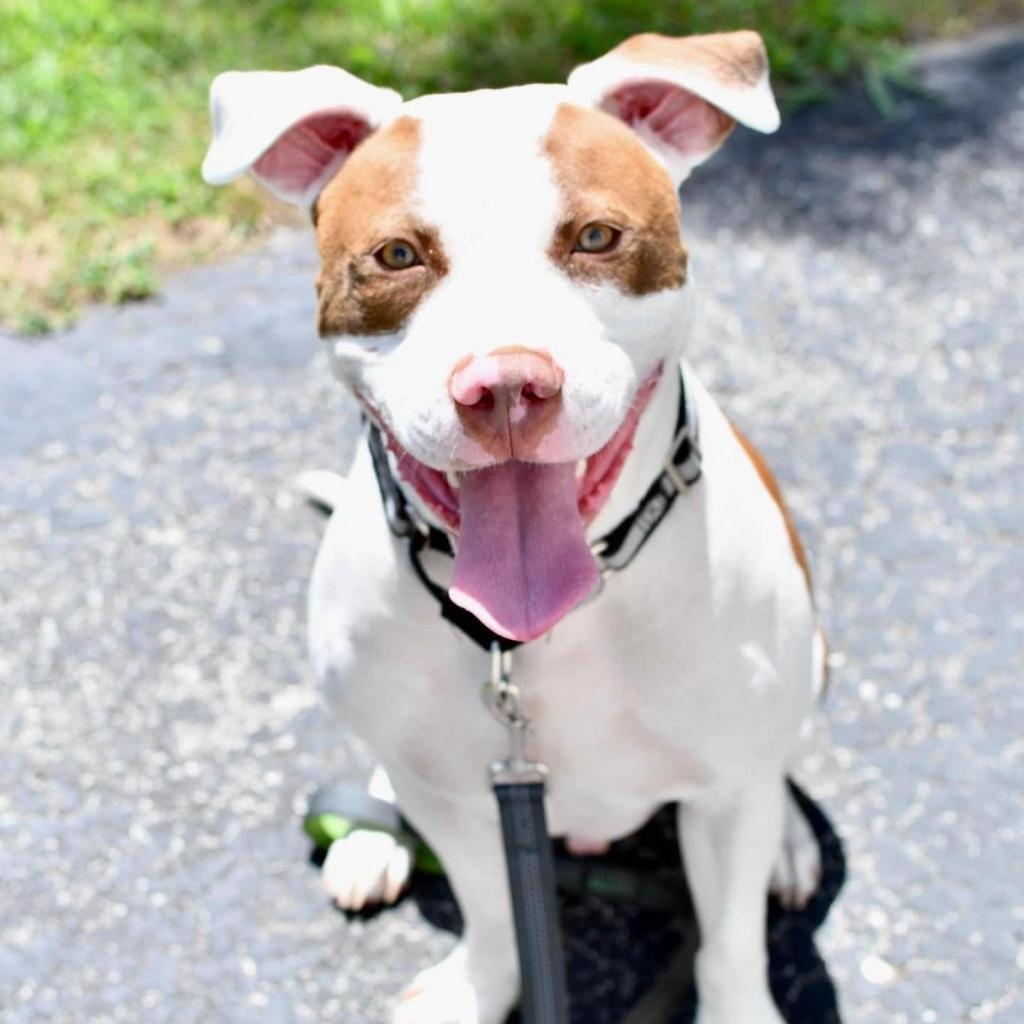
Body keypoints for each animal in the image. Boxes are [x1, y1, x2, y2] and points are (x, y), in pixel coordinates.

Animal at [203, 29, 827, 1024]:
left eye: (597, 237)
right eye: (396, 255)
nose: (503, 386)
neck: (541, 637)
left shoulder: (729, 797)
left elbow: (729, 945)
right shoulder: (468, 804)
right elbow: (495, 915)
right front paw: (472, 990)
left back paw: (795, 840)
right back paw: (371, 832)